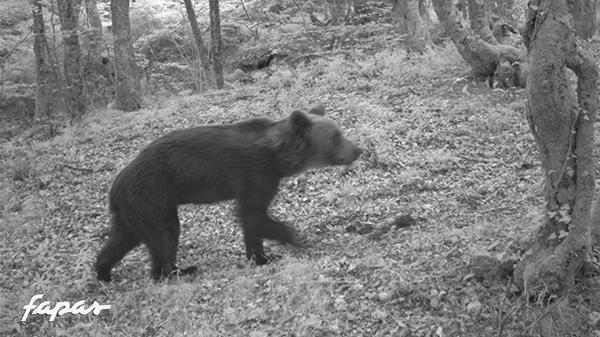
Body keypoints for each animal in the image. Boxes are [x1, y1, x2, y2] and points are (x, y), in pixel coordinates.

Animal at [95, 103, 360, 280]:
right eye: (336, 136)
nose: (357, 149)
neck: (278, 159)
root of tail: (115, 188)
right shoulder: (256, 175)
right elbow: (253, 215)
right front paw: (291, 238)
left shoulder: (258, 180)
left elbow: (253, 220)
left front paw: (262, 257)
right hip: (153, 193)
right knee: (165, 234)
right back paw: (178, 270)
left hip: (134, 208)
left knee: (123, 238)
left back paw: (103, 271)